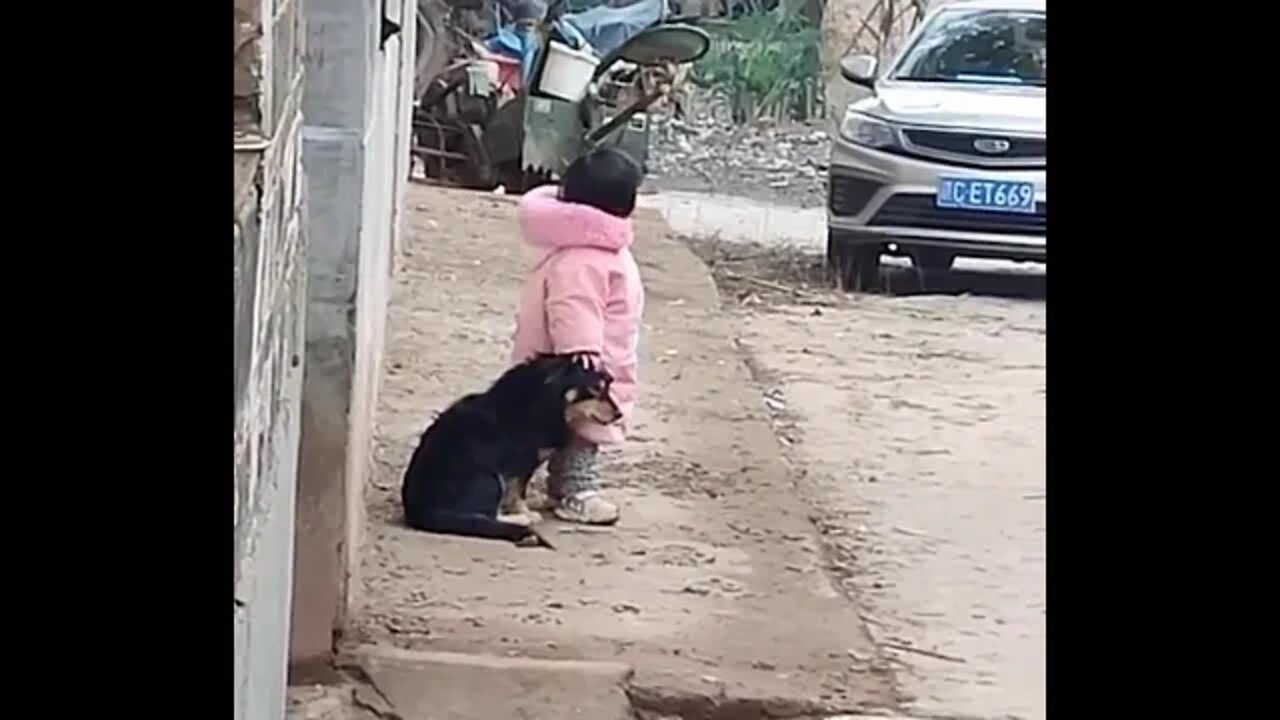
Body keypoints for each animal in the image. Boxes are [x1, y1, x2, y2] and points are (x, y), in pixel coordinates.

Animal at [399, 351, 619, 543]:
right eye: (596, 389)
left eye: (607, 387)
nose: (619, 415)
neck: (546, 400)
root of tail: (421, 511)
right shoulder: (523, 463)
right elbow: (517, 493)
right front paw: (524, 512)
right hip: (489, 479)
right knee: (487, 516)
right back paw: (520, 520)